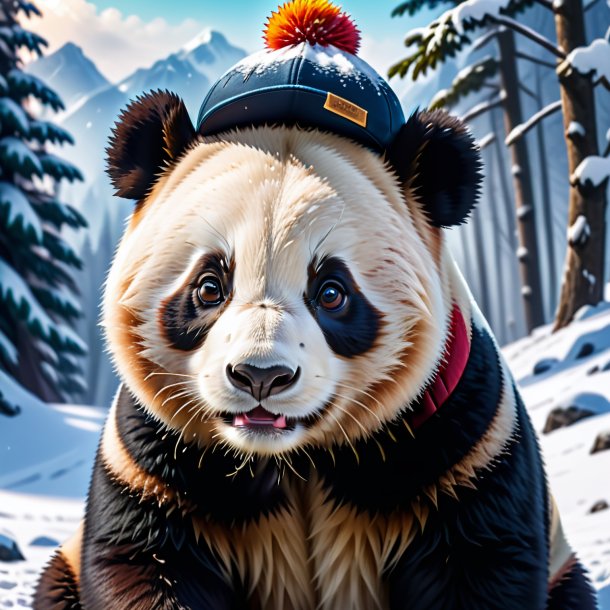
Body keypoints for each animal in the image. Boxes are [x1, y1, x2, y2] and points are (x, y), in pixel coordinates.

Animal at [33, 1, 592, 608]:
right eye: (209, 286)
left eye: (331, 292)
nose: (261, 375)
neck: (292, 459)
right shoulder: (154, 463)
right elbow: (143, 559)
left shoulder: (463, 441)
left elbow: (481, 560)